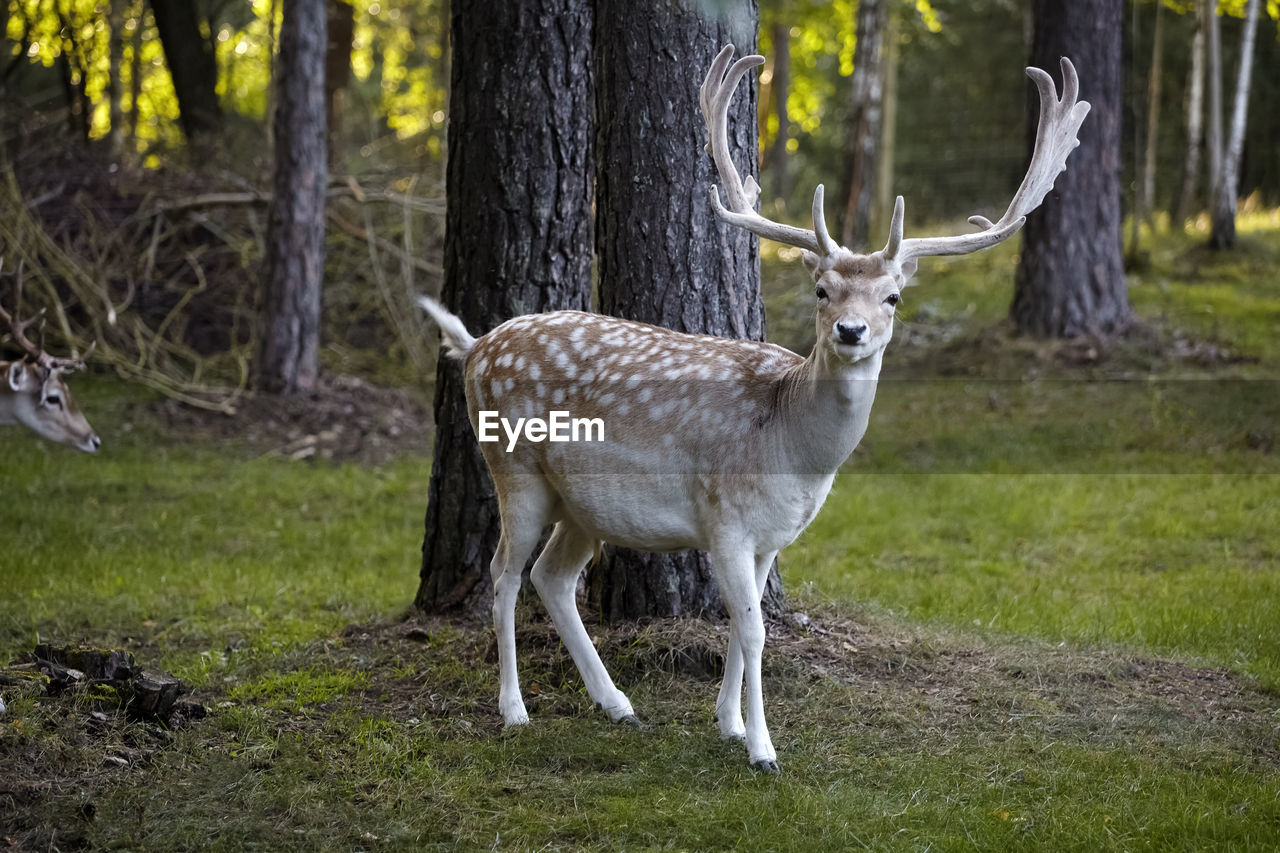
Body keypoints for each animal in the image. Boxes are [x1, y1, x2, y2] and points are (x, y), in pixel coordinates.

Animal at [419, 44, 1090, 768]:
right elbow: (756, 631)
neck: (793, 451)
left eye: (893, 297)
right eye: (823, 290)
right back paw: (514, 710)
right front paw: (764, 747)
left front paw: (730, 725)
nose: (850, 331)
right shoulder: (726, 520)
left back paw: (618, 703)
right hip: (512, 466)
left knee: (554, 576)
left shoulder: (770, 536)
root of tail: (477, 346)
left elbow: (743, 630)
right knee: (504, 573)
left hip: (584, 504)